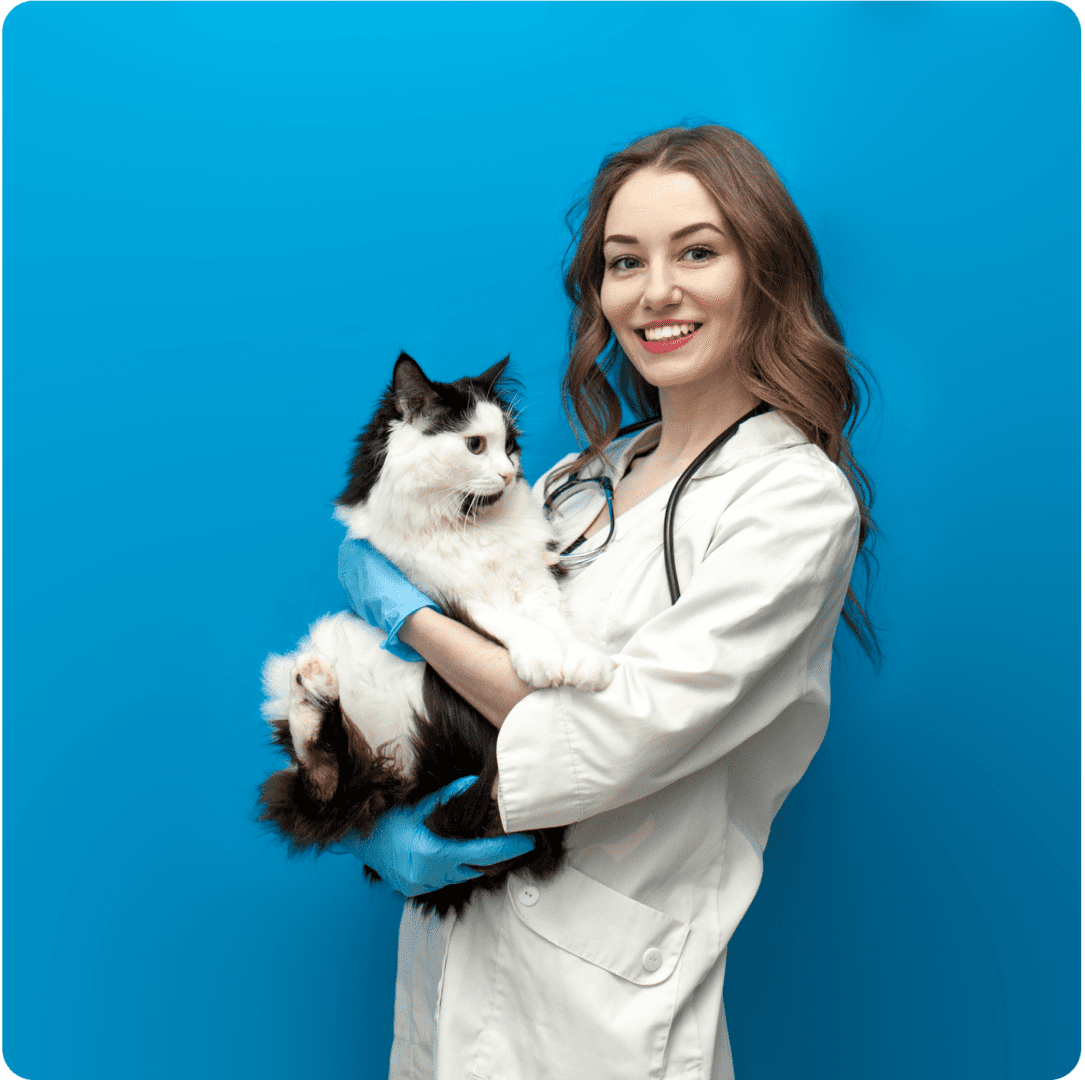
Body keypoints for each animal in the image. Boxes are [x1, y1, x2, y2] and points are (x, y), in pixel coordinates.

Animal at [253, 353, 611, 911]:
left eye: (511, 443)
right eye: (475, 445)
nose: (510, 473)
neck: (470, 528)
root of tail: (402, 785)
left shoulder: (535, 581)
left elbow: (554, 622)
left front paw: (580, 660)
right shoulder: (442, 597)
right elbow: (503, 623)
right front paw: (544, 659)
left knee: (330, 778)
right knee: (320, 785)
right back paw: (313, 688)